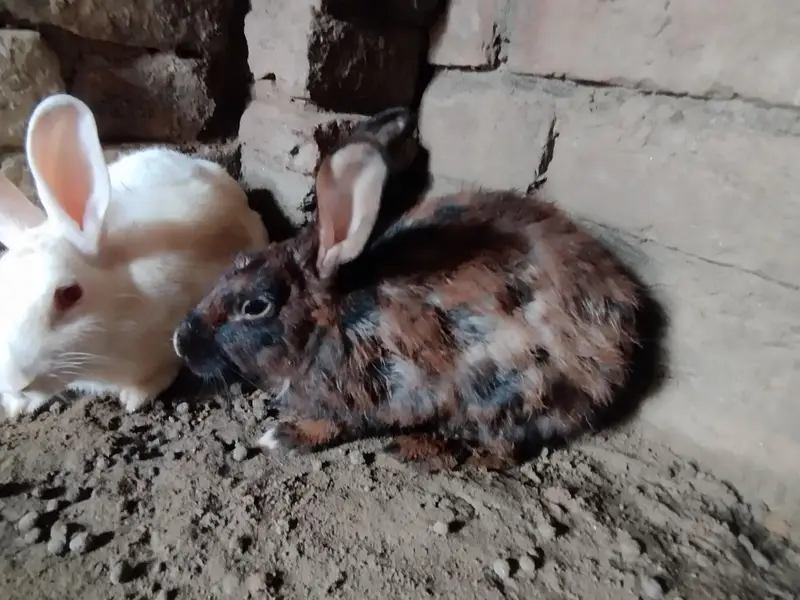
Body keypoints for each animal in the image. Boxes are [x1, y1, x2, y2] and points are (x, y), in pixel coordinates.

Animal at [172, 107, 643, 470]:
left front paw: (281, 436)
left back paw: (417, 447)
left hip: (510, 388)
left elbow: (332, 424)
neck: (327, 322)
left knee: (501, 448)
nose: (180, 341)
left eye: (255, 305)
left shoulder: (358, 395)